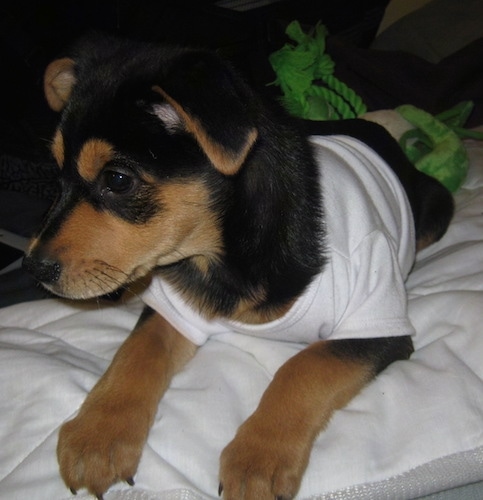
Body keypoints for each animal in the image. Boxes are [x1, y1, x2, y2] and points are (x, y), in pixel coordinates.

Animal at [21, 35, 454, 500]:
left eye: (117, 180)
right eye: (57, 175)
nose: (33, 268)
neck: (222, 256)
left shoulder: (375, 323)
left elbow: (307, 365)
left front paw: (257, 459)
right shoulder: (176, 308)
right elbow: (136, 351)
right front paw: (97, 436)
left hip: (435, 210)